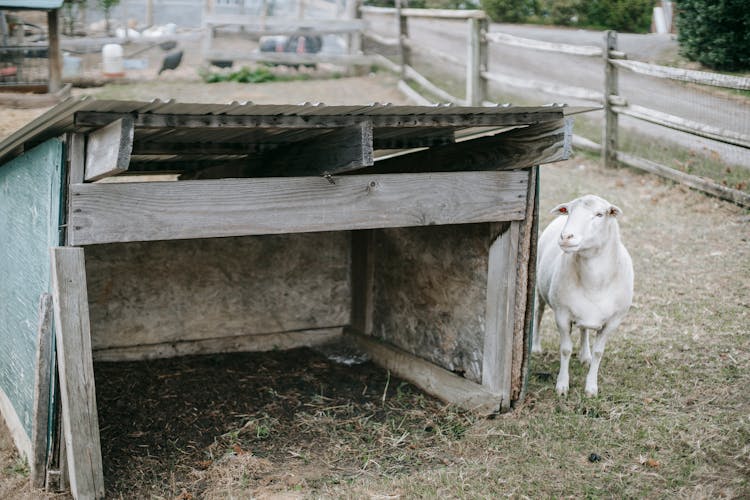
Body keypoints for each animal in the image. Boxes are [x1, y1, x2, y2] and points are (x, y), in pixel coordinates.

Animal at [536, 193, 636, 396]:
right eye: (569, 211)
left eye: (599, 214)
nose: (566, 236)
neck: (594, 283)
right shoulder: (562, 314)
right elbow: (565, 349)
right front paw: (562, 385)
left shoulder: (613, 321)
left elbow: (599, 352)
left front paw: (591, 387)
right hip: (540, 290)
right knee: (538, 313)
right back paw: (535, 347)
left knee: (584, 330)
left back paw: (585, 356)